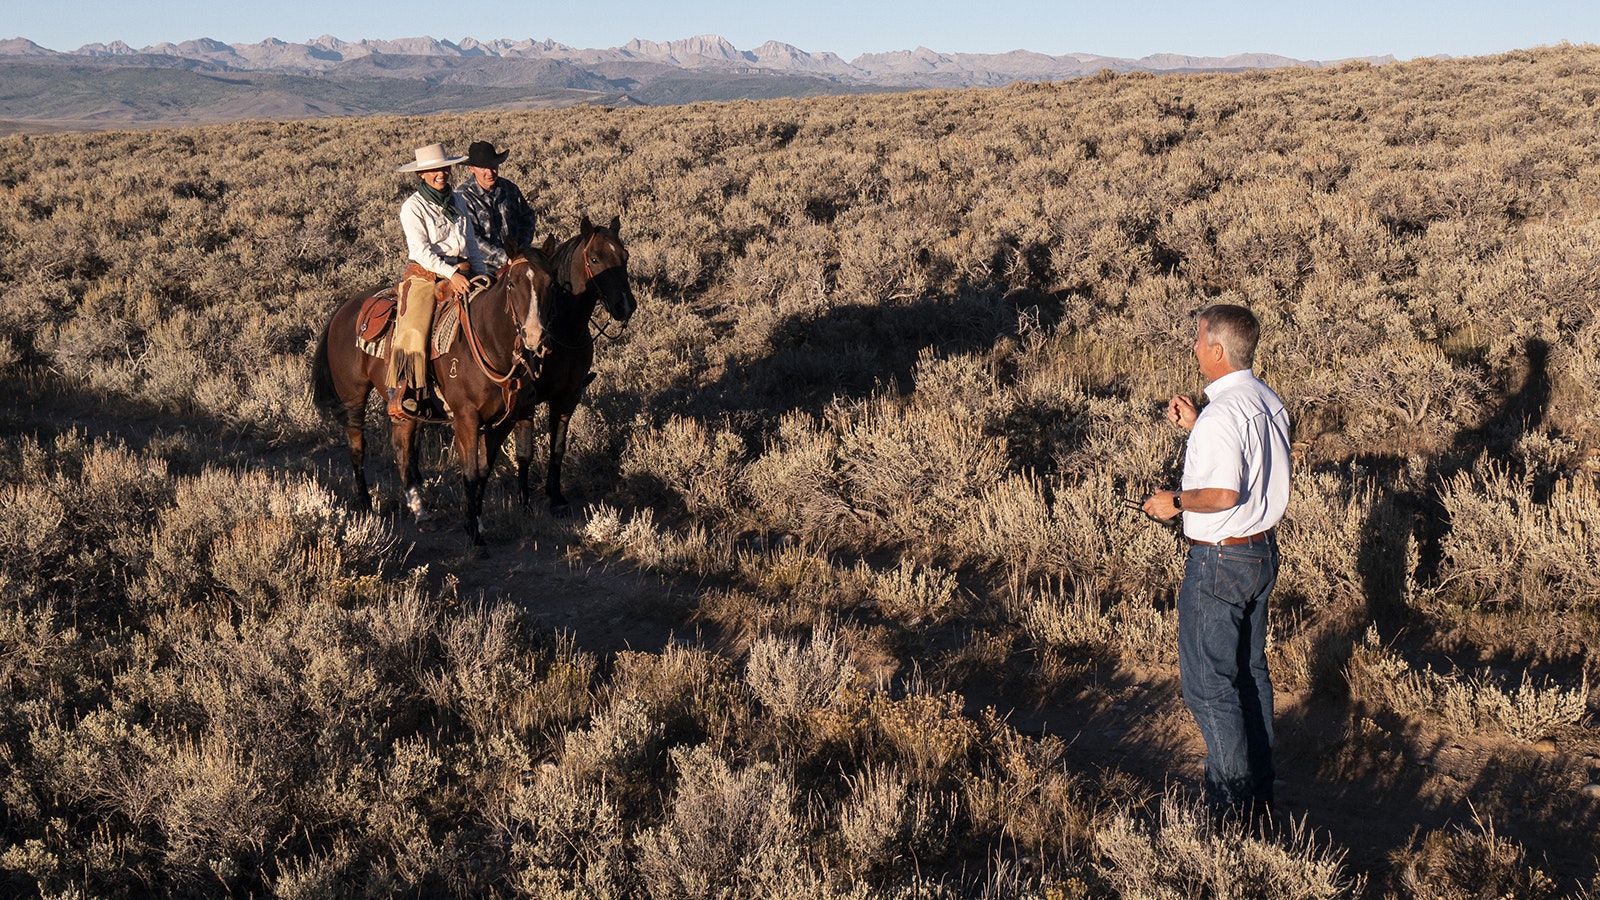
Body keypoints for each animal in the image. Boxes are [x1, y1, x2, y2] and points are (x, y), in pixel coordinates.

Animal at [312, 248, 556, 544]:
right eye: (512, 284)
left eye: (550, 283)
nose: (535, 335)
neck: (490, 342)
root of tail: (344, 308)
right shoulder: (466, 419)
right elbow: (470, 473)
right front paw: (474, 534)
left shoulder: (509, 418)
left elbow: (491, 467)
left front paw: (478, 521)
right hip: (353, 398)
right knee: (358, 448)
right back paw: (366, 508)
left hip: (408, 408)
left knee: (403, 449)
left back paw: (420, 511)